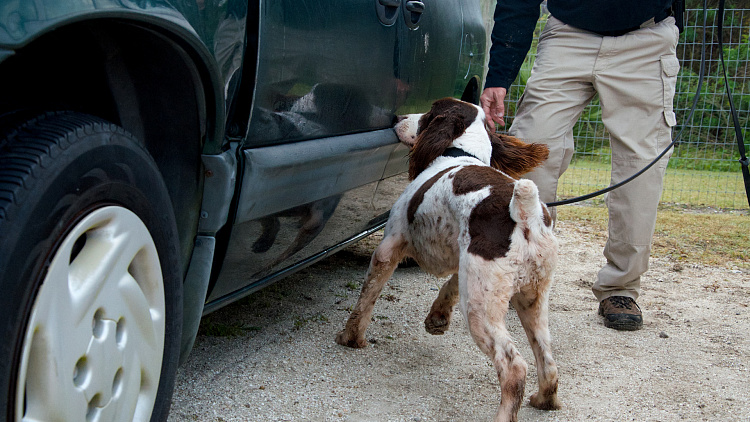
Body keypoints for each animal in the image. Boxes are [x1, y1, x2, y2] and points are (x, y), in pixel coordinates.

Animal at [338, 97, 560, 420]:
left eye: (430, 113)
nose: (399, 117)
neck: (462, 153)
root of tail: (526, 216)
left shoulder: (389, 246)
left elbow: (366, 298)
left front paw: (351, 338)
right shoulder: (464, 261)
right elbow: (450, 285)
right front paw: (437, 318)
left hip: (481, 310)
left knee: (514, 367)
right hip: (532, 298)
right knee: (548, 360)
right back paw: (545, 399)